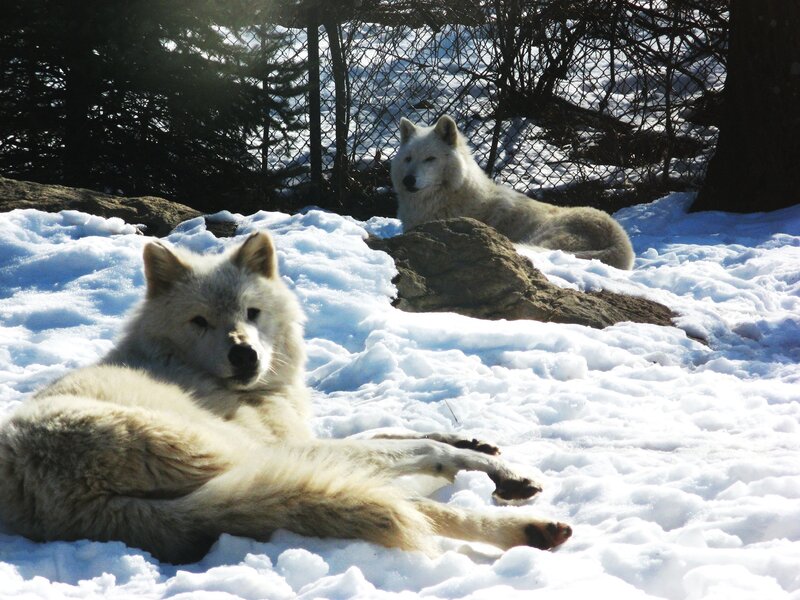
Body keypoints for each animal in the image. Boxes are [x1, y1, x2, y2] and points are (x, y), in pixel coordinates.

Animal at [0, 232, 572, 563]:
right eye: (200, 321)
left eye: (251, 312)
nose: (244, 355)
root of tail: (48, 490)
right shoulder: (300, 443)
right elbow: (424, 447)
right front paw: (501, 471)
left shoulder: (305, 433)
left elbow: (397, 429)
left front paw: (476, 441)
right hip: (259, 459)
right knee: (405, 504)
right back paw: (529, 529)